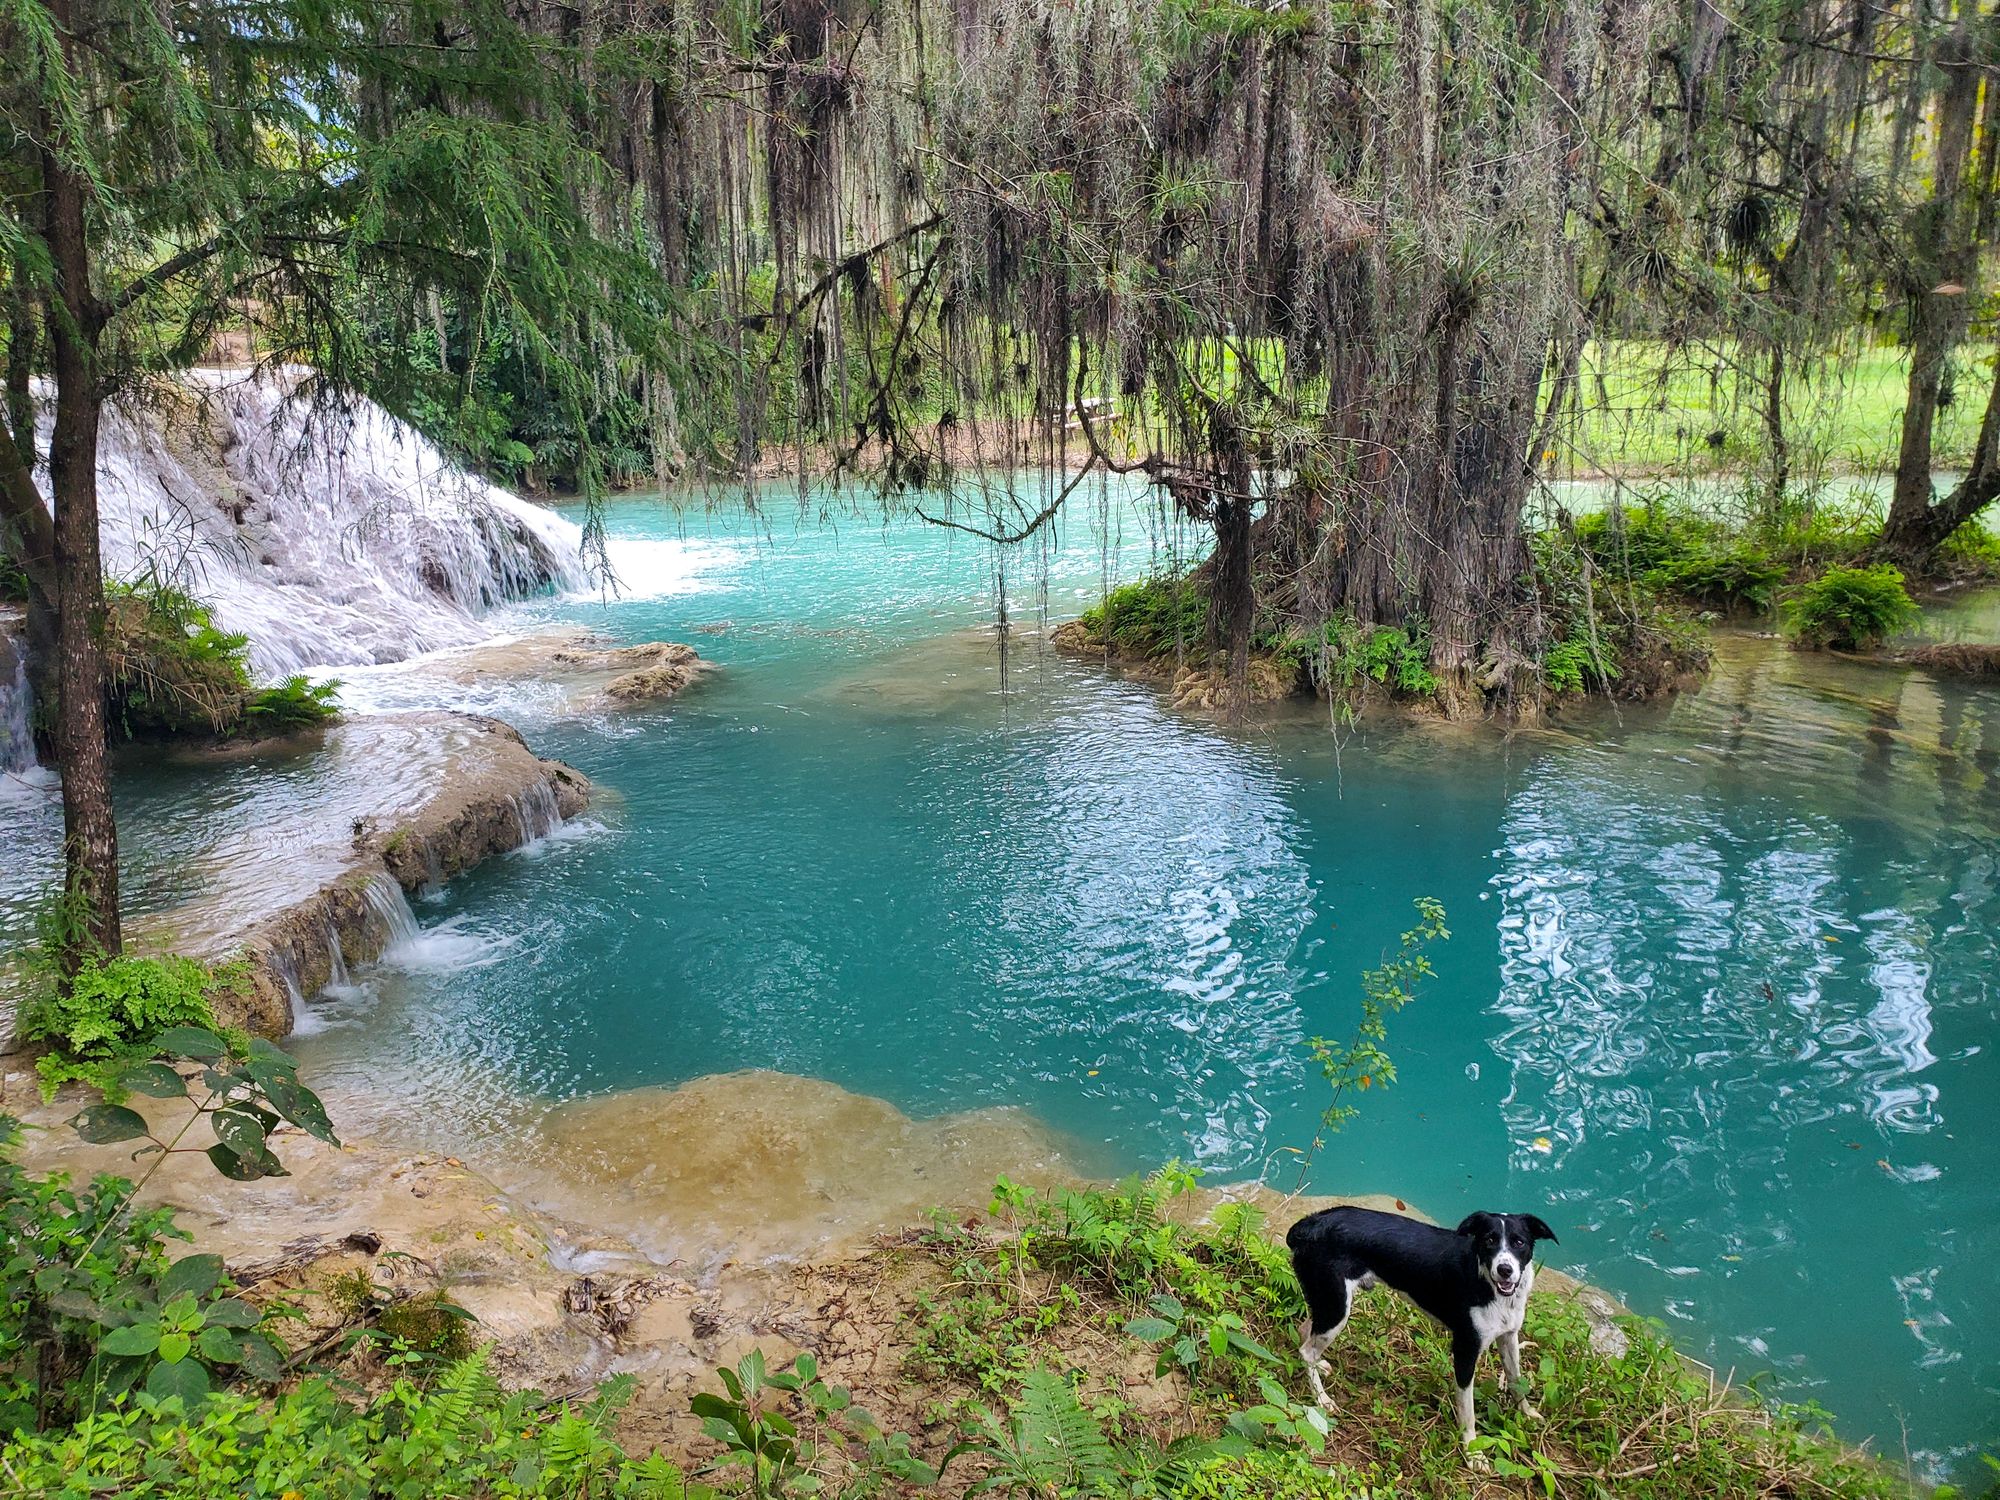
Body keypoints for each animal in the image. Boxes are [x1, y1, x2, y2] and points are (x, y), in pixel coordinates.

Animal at [1288, 1208, 1552, 1472]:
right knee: (1306, 1351)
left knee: (1305, 1331)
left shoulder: (1509, 1336)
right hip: (1336, 1306)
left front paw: (1527, 1414)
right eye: (1489, 1240)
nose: (1505, 1269)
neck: (1487, 1282)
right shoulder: (1465, 1350)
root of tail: (1309, 1224)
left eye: (1519, 1242)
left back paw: (1321, 1366)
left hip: (1329, 1304)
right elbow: (1468, 1413)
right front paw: (1473, 1453)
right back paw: (1322, 1398)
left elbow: (1516, 1381)